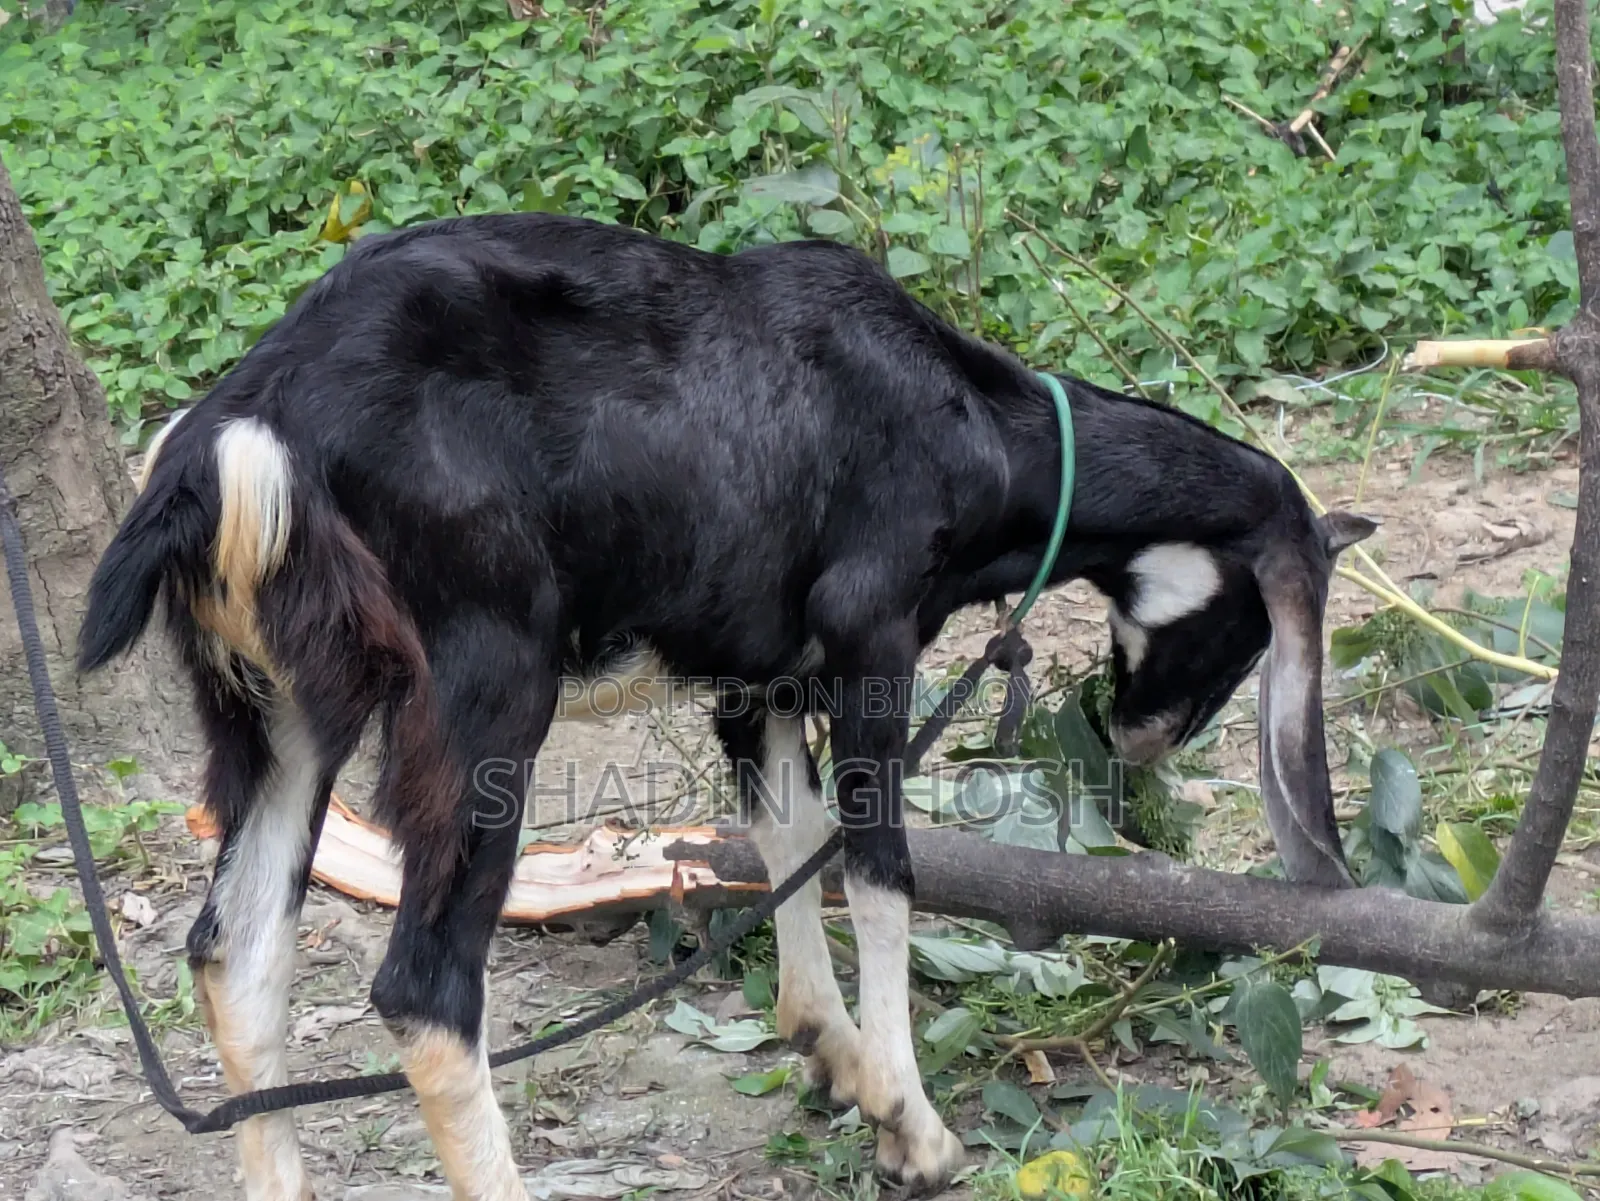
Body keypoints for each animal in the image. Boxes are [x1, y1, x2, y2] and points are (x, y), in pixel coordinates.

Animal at [78, 211, 1375, 1201]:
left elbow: (786, 840)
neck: (972, 422)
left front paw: (832, 1054)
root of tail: (242, 429)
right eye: (1252, 628)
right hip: (483, 685)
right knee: (421, 987)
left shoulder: (761, 675)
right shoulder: (869, 633)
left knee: (235, 953)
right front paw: (917, 1127)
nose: (1141, 738)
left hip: (282, 708)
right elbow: (878, 867)